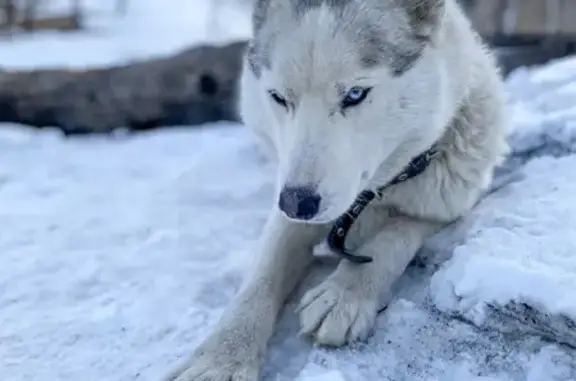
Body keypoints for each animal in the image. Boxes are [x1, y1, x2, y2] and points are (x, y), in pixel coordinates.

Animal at [164, 0, 506, 378]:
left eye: (355, 95)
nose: (296, 203)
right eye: (278, 97)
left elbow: (394, 237)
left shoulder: (442, 207)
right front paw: (222, 356)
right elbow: (262, 276)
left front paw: (346, 292)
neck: (369, 200)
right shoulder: (287, 206)